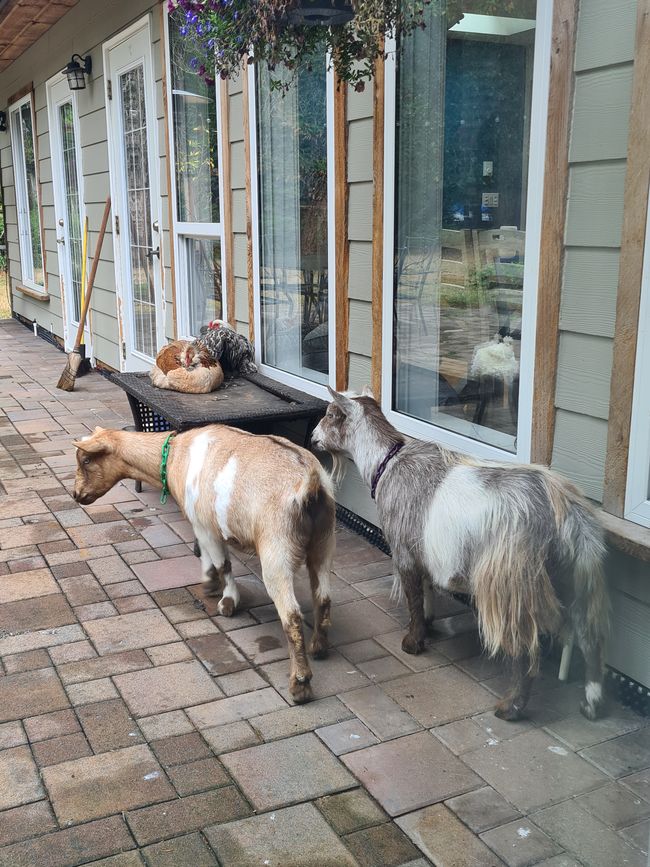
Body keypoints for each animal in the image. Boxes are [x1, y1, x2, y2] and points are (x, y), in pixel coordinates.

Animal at [73, 428, 334, 704]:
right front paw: (209, 584)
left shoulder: (206, 524)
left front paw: (227, 602)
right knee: (323, 596)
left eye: (86, 460)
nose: (76, 495)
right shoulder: (204, 526)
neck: (176, 453)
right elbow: (208, 556)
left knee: (292, 616)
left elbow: (223, 563)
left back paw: (300, 685)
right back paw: (319, 647)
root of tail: (311, 483)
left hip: (276, 549)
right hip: (325, 543)